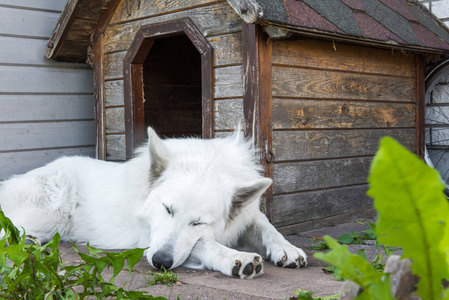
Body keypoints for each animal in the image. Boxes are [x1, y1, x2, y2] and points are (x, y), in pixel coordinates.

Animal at [0, 127, 304, 278]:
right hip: (53, 214)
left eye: (198, 222)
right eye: (167, 209)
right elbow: (203, 244)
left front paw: (286, 248)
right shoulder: (148, 239)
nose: (160, 262)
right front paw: (234, 258)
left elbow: (266, 226)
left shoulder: (246, 215)